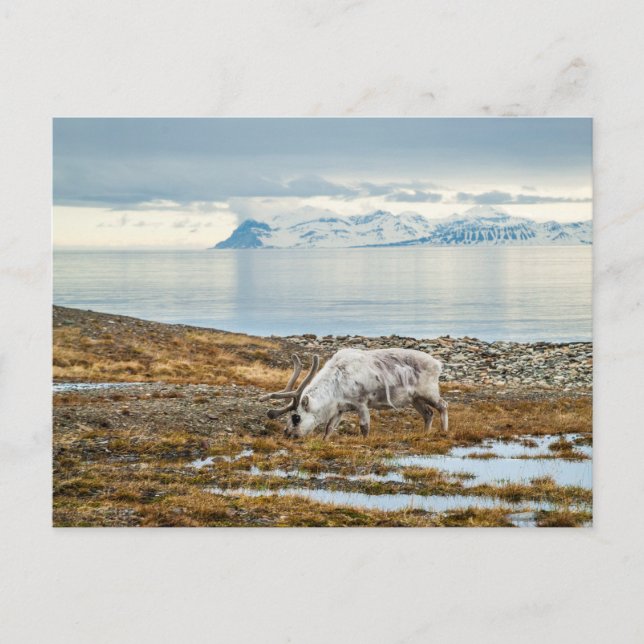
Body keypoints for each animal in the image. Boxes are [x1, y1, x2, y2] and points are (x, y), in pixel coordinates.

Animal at [260, 348, 448, 439]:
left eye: (296, 417)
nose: (287, 434)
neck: (335, 385)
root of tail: (438, 364)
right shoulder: (340, 408)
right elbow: (329, 428)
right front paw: (324, 441)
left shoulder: (361, 403)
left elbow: (364, 427)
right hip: (415, 398)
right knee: (428, 413)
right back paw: (425, 433)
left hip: (428, 391)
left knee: (443, 405)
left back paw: (444, 431)